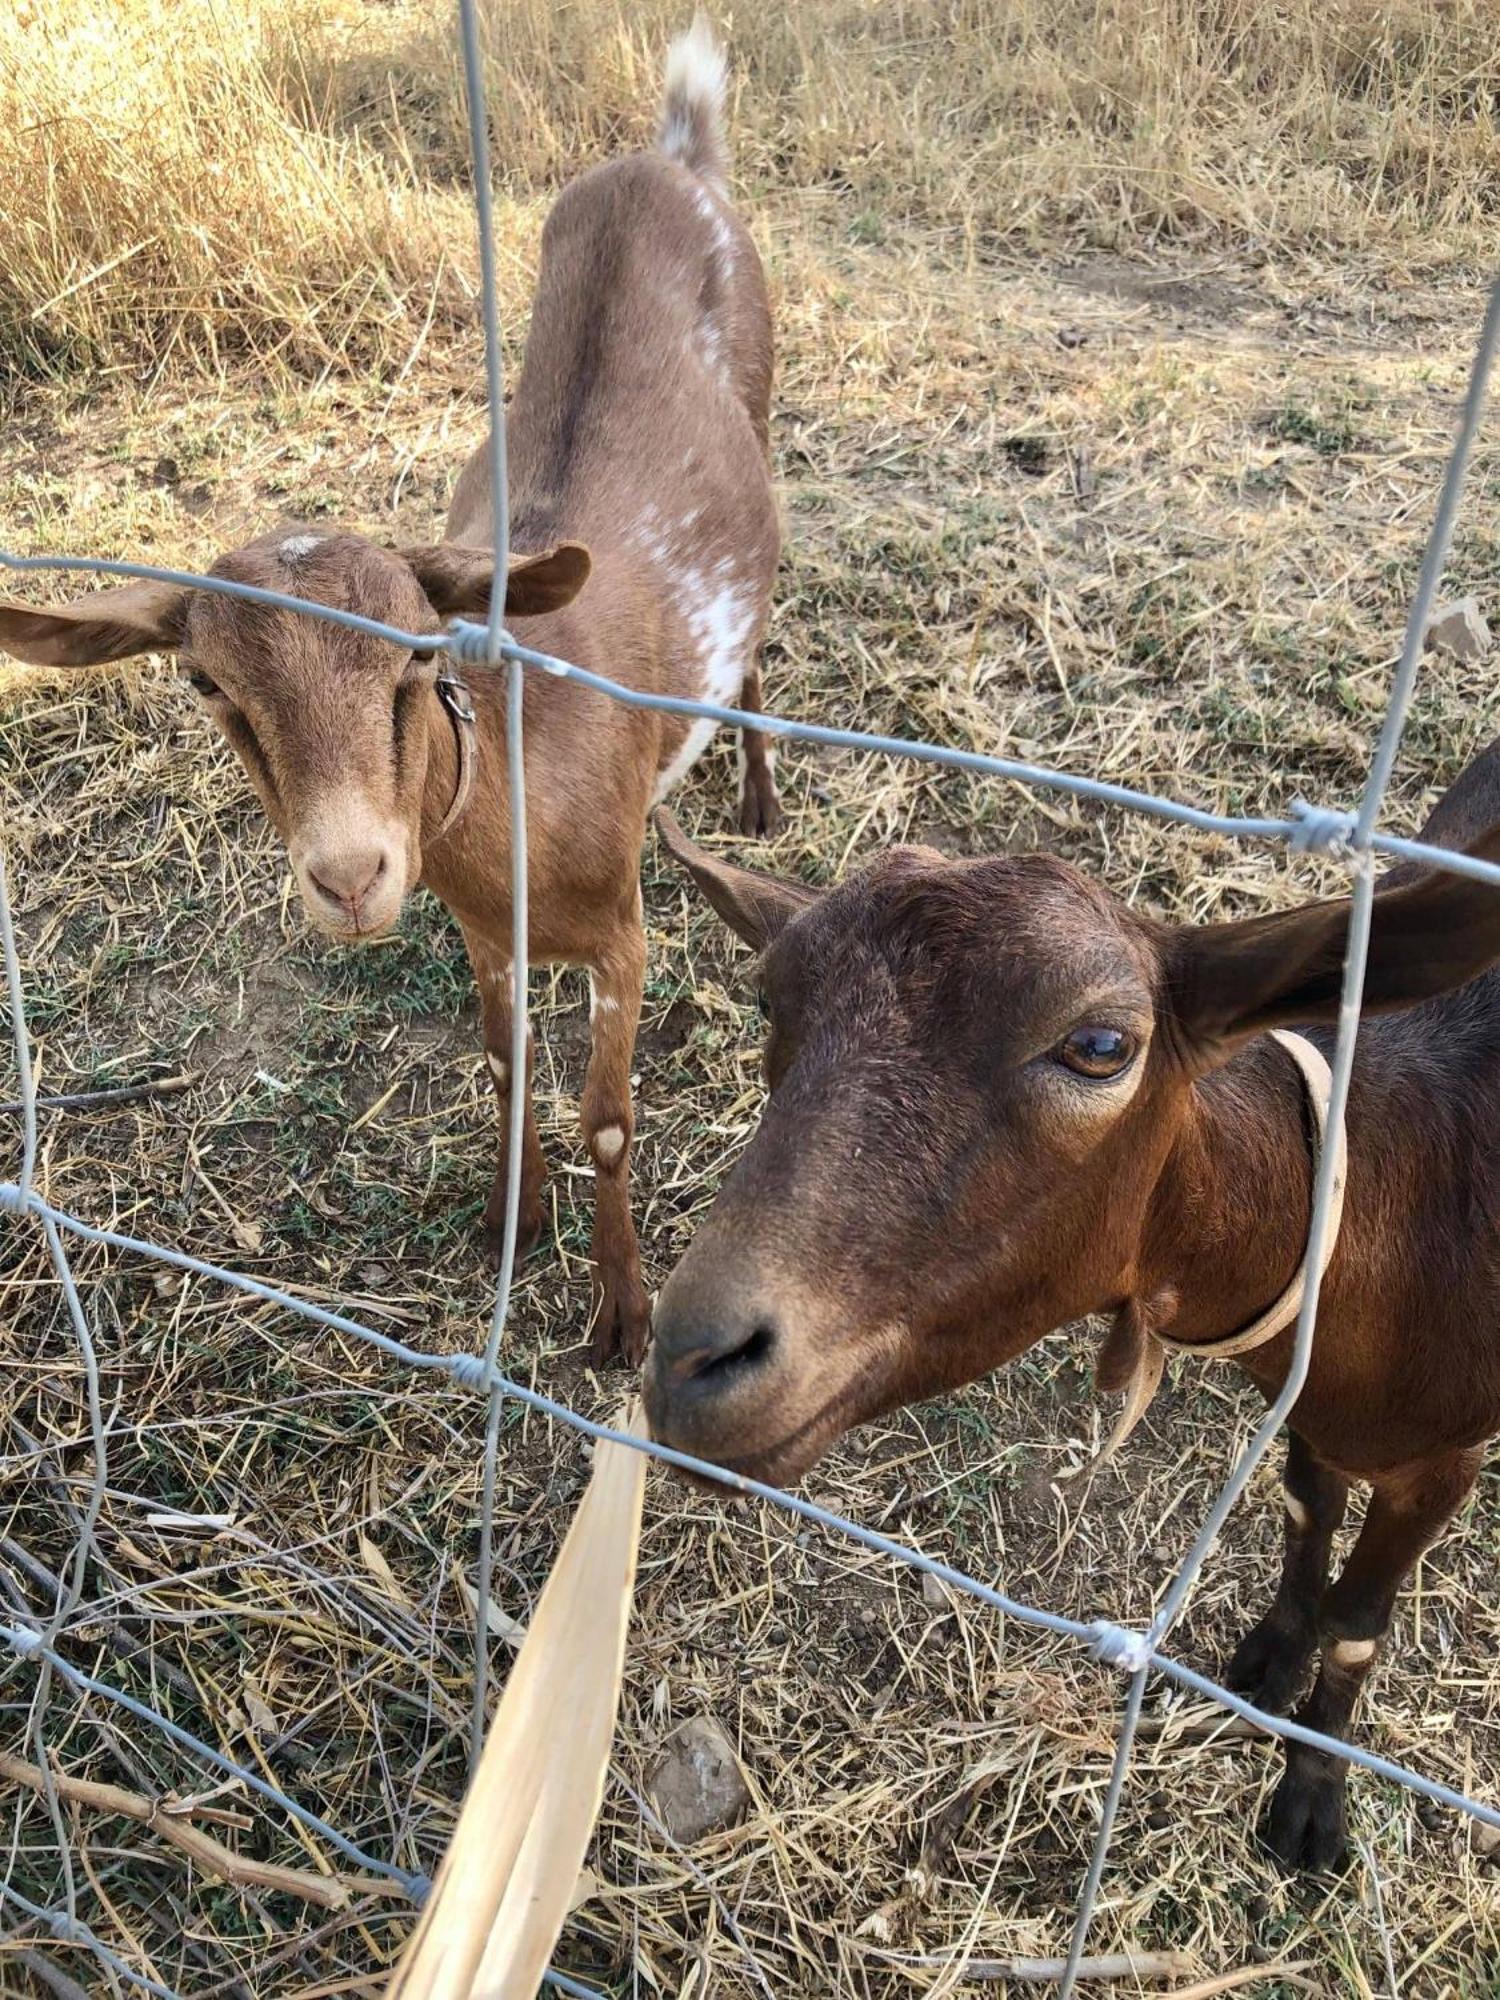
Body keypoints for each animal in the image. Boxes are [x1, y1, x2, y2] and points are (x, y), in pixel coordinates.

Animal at [0, 27, 776, 1376]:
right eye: (206, 681)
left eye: (417, 657)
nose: (351, 874)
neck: (514, 779)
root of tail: (672, 155)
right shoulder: (485, 931)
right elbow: (506, 1065)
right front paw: (513, 1218)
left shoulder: (621, 927)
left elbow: (611, 1119)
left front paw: (621, 1315)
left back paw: (762, 794)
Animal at [648, 748, 1500, 1872]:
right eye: (767, 1000)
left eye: (1100, 1044)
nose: (690, 1360)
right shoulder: (1308, 1396)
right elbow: (1306, 1505)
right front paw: (1270, 1657)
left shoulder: (1445, 1457)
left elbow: (1361, 1619)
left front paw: (1313, 1795)